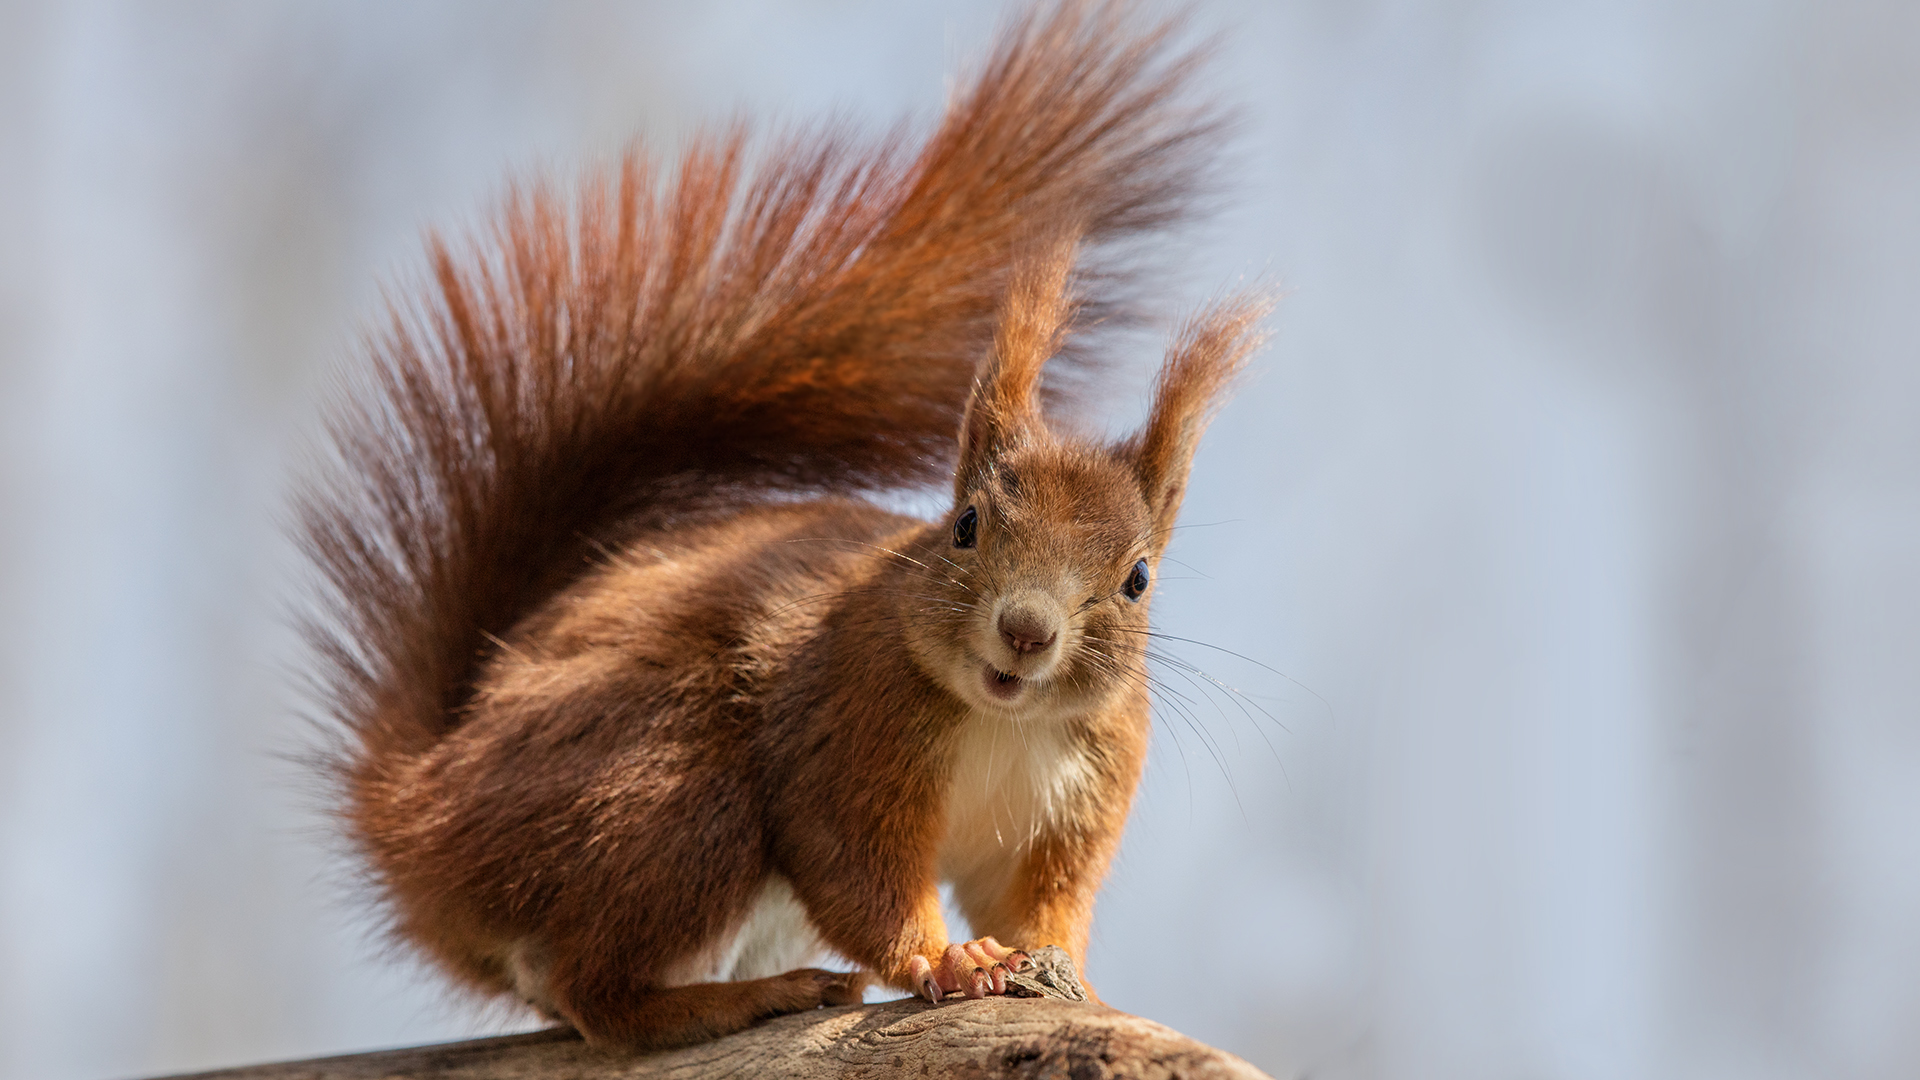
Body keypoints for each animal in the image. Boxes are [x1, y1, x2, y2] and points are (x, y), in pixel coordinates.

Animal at [295, 0, 1259, 1045]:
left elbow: (1039, 904)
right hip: (674, 793)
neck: (1002, 719)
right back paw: (736, 998)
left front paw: (1070, 974)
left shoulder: (1079, 794)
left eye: (1137, 579)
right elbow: (851, 860)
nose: (1027, 629)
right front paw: (947, 958)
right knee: (601, 993)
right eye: (965, 525)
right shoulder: (848, 715)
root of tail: (420, 821)